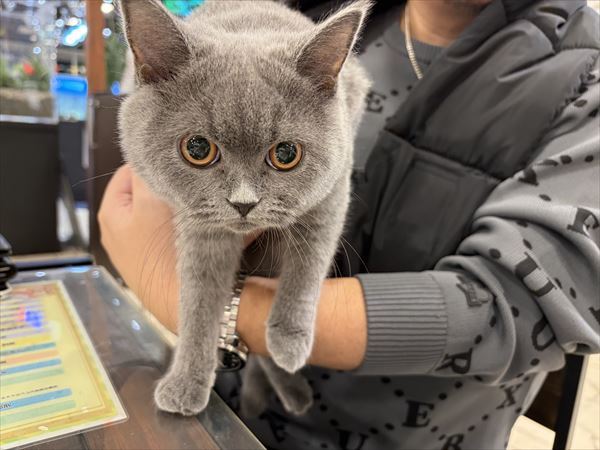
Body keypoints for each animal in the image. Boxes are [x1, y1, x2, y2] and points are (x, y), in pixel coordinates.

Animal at [118, 0, 371, 416]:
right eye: (198, 149)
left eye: (286, 154)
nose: (243, 203)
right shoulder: (201, 224)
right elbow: (199, 298)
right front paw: (186, 381)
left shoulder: (333, 187)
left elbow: (308, 264)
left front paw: (290, 337)